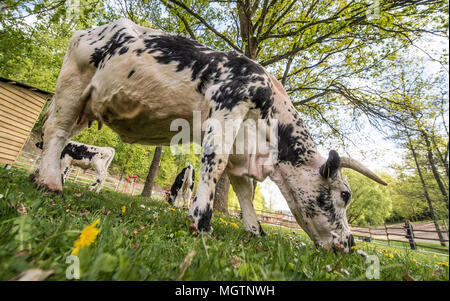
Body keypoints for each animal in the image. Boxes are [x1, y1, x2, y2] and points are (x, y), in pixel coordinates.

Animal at [35, 18, 386, 252]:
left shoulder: (242, 149)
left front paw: (255, 230)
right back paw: (51, 183)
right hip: (74, 83)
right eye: (345, 195)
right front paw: (201, 222)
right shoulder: (227, 110)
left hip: (86, 107)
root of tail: (92, 29)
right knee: (56, 131)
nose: (350, 243)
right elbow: (214, 165)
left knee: (55, 137)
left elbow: (244, 191)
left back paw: (38, 177)